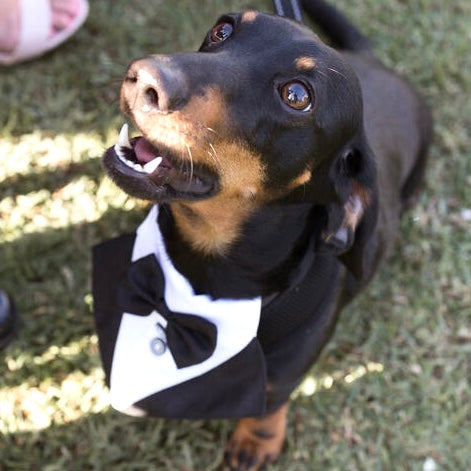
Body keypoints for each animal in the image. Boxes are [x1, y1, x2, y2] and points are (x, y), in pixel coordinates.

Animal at [94, 1, 434, 470]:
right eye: (222, 29)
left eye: (297, 95)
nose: (142, 76)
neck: (205, 281)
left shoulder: (287, 369)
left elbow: (270, 403)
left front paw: (257, 441)